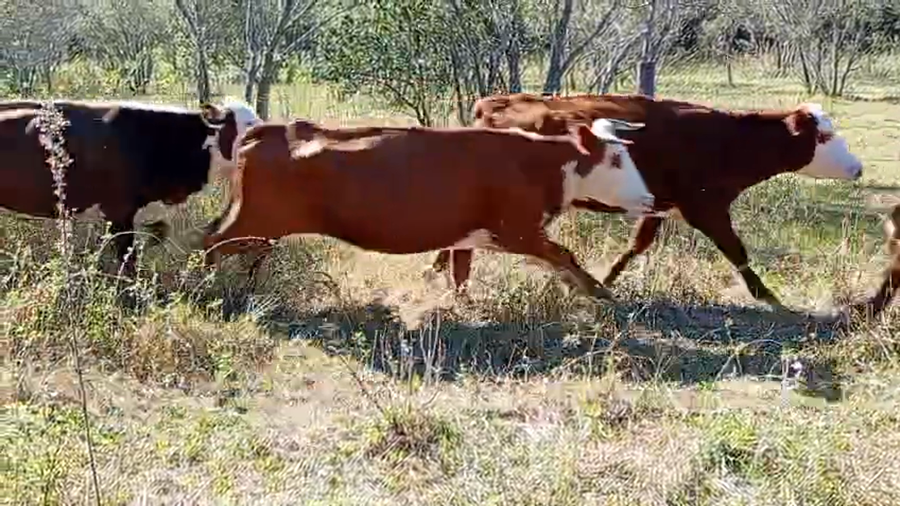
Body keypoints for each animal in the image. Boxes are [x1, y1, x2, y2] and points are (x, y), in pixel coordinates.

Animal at [201, 117, 657, 301]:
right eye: (617, 159)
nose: (651, 199)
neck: (537, 162)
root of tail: (271, 129)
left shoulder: (469, 237)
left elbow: (459, 273)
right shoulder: (519, 231)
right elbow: (565, 256)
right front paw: (600, 293)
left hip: (258, 226)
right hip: (255, 222)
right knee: (211, 244)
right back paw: (204, 287)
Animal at [428, 92, 865, 308]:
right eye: (824, 135)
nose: (858, 167)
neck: (727, 141)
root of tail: (494, 103)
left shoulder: (661, 207)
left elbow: (637, 246)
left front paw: (603, 281)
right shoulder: (706, 209)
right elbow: (737, 251)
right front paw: (768, 297)